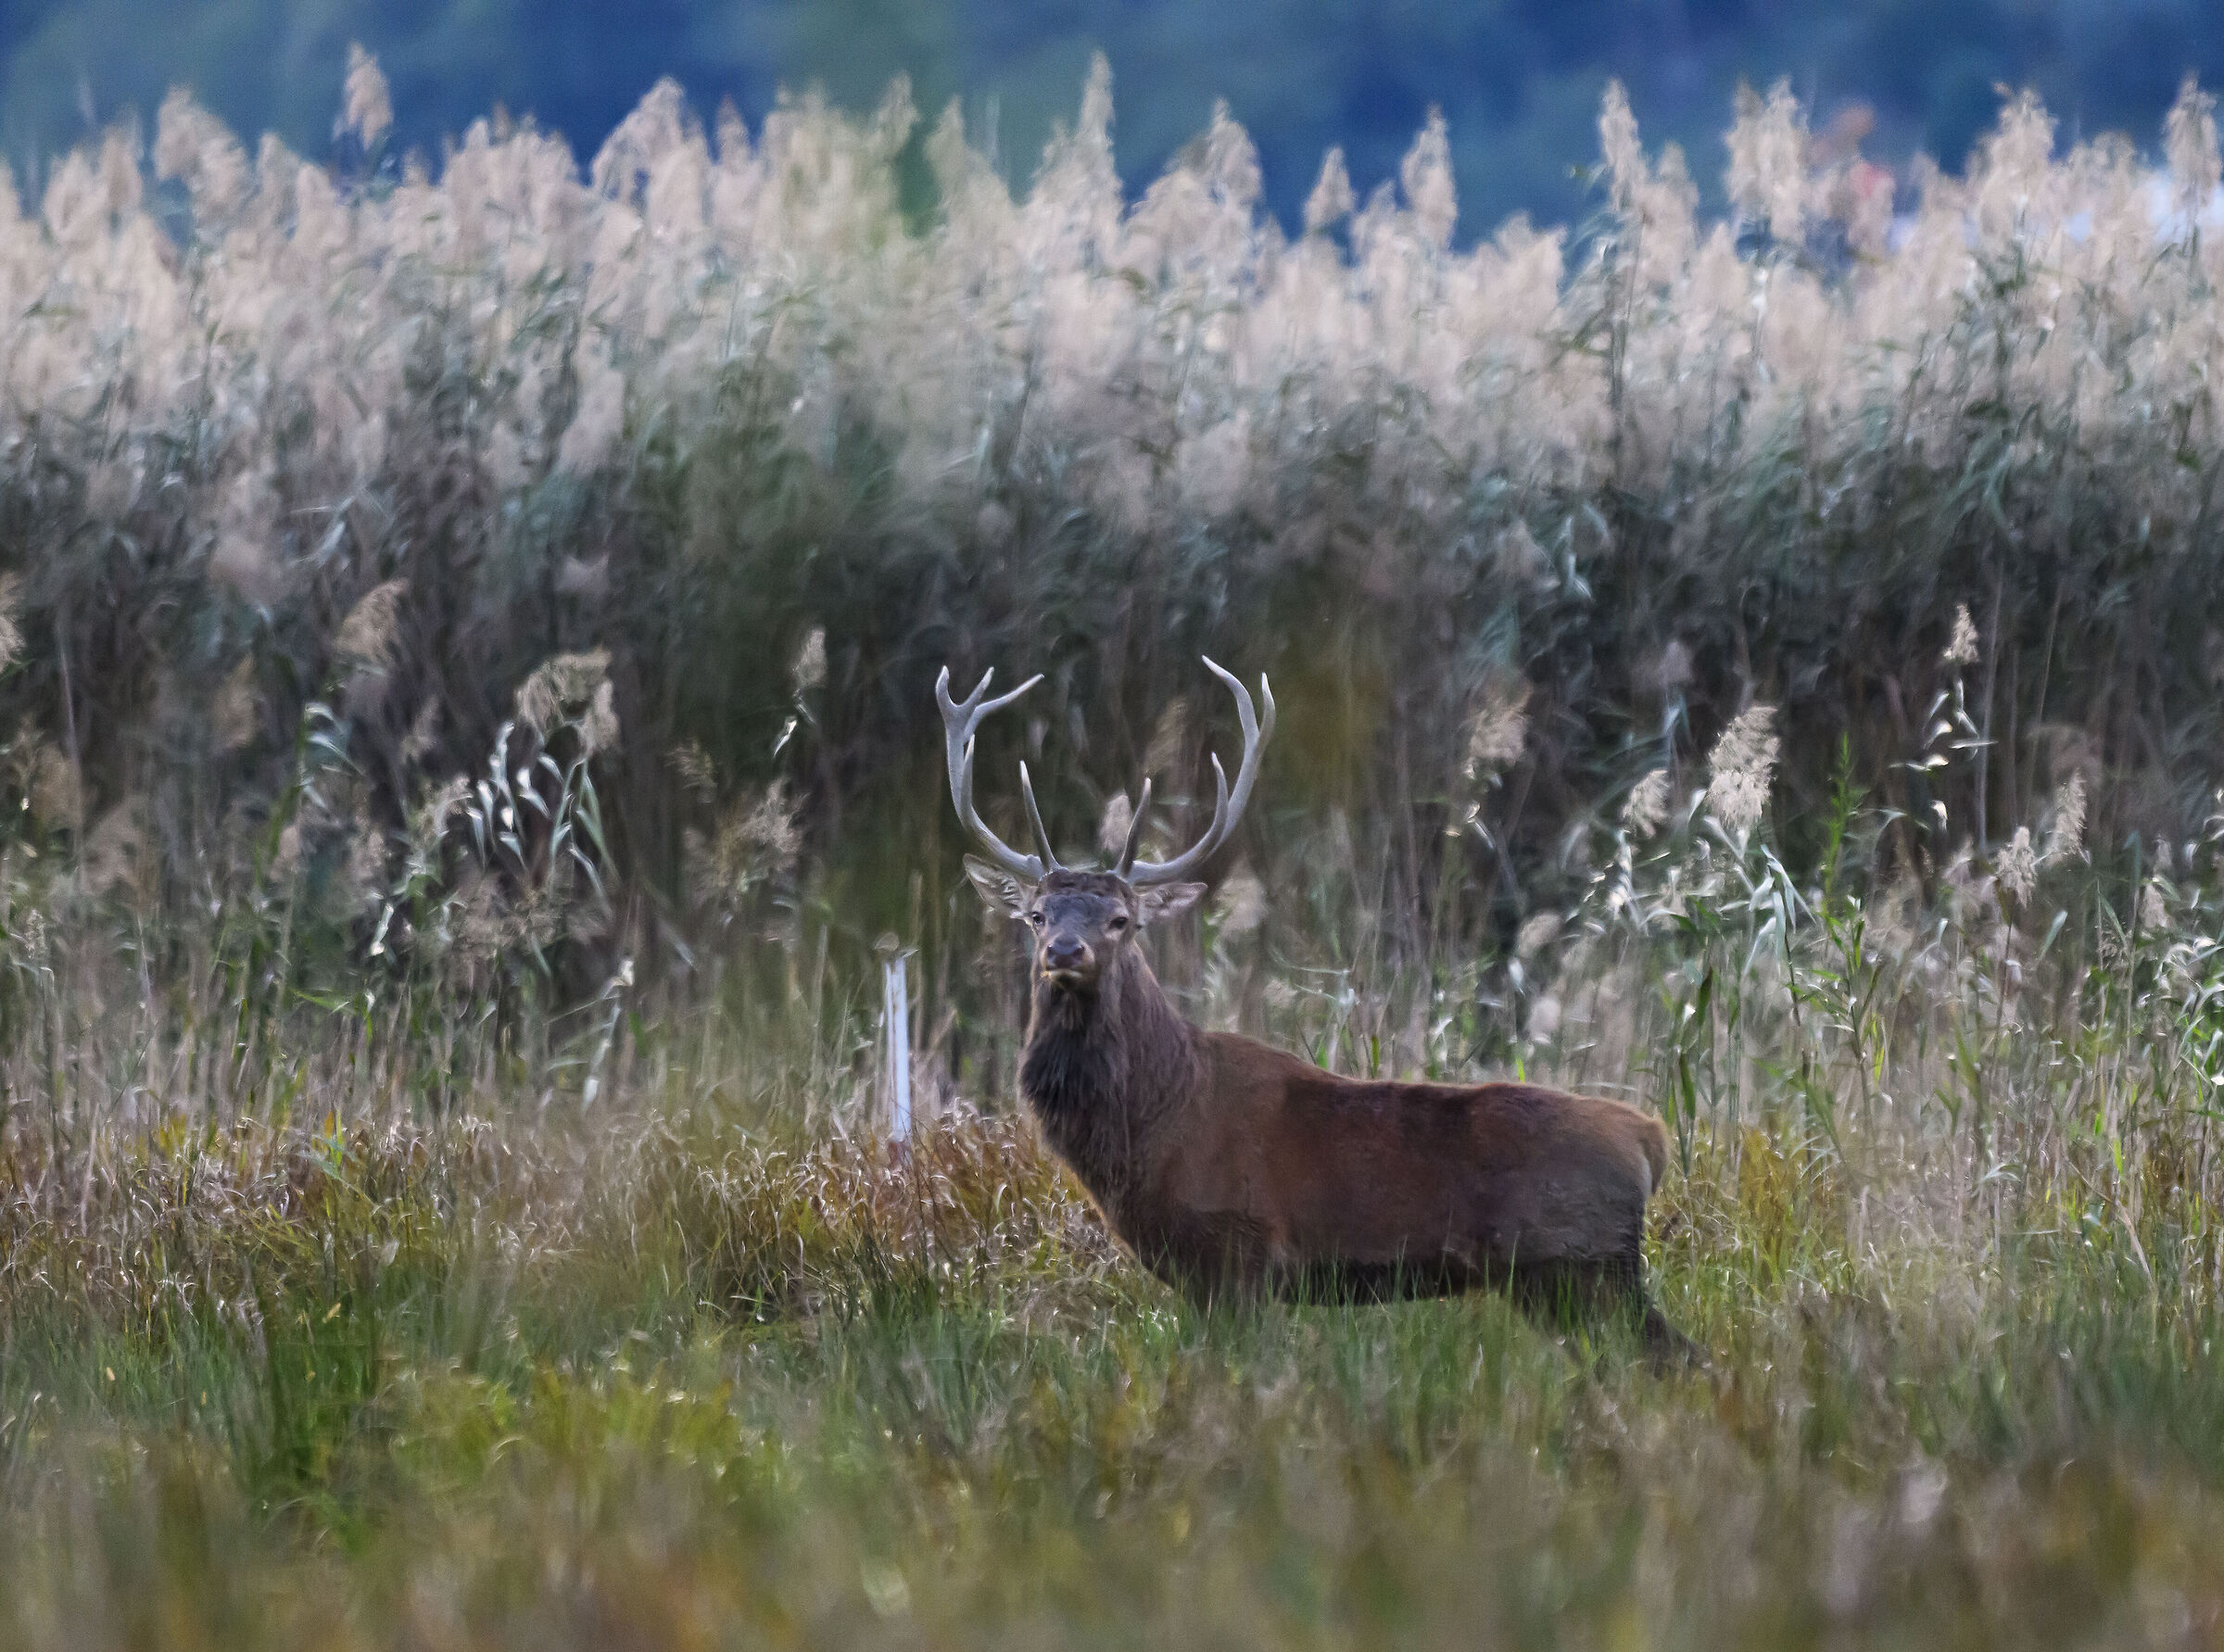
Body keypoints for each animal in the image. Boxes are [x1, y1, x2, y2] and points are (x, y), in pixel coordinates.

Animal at [937, 658, 1694, 1364]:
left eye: (1122, 920)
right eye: (1036, 914)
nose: (1065, 950)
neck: (1155, 1119)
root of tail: (1649, 1139)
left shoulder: (1237, 1249)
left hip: (1580, 1266)